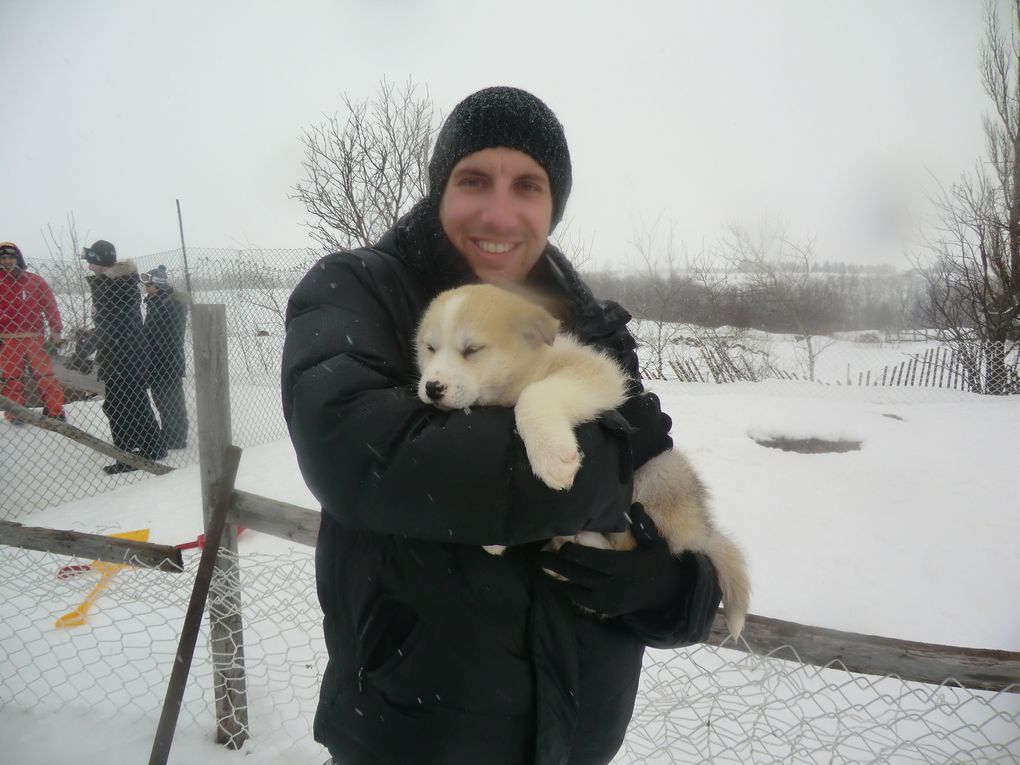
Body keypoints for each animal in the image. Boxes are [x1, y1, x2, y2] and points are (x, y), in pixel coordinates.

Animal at [414, 285, 750, 636]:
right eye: (430, 348)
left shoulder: (595, 374)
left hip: (661, 474)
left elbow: (536, 394)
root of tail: (703, 530)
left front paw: (552, 454)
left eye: (472, 349)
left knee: (630, 550)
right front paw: (493, 540)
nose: (432, 387)